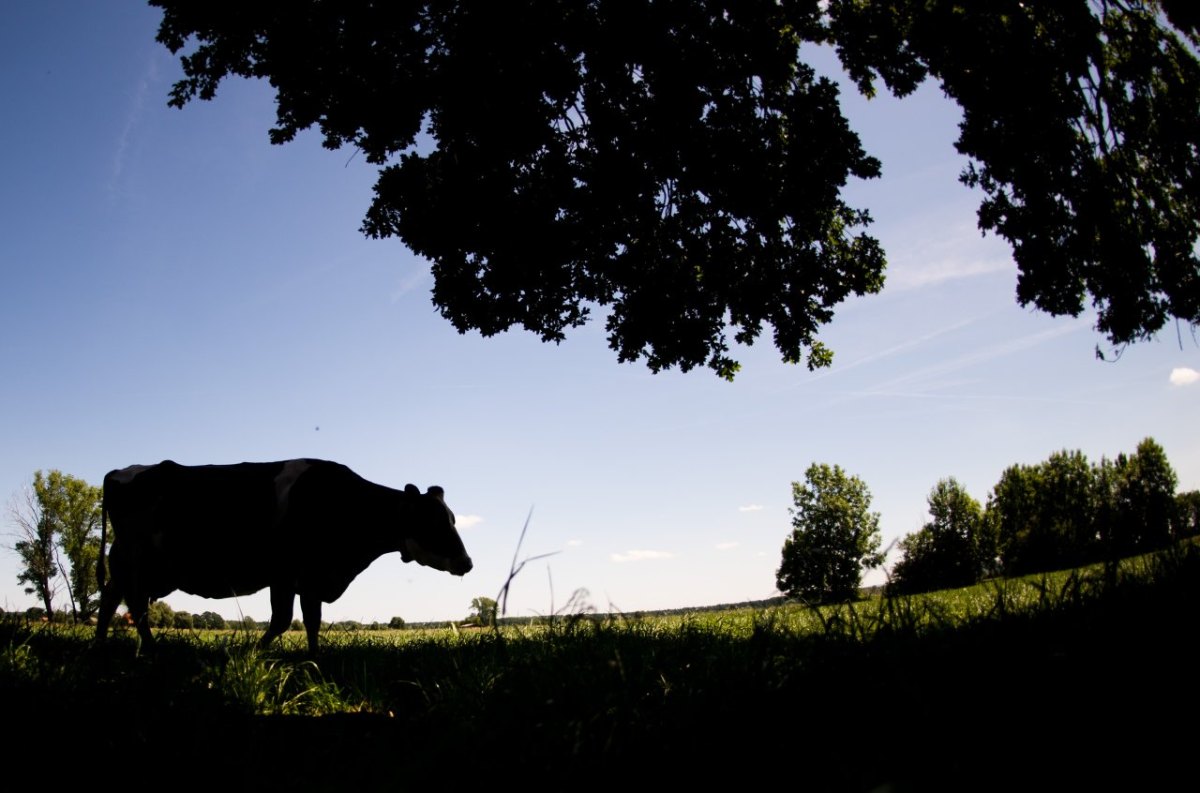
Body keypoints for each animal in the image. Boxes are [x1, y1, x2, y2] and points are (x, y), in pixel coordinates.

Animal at [94, 458, 472, 647]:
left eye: (453, 519)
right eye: (433, 522)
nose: (467, 562)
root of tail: (121, 472)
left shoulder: (303, 579)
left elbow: (302, 621)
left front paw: (309, 658)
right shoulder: (294, 574)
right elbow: (290, 620)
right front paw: (257, 652)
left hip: (142, 566)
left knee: (113, 598)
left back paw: (100, 646)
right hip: (137, 560)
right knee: (135, 605)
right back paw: (149, 649)